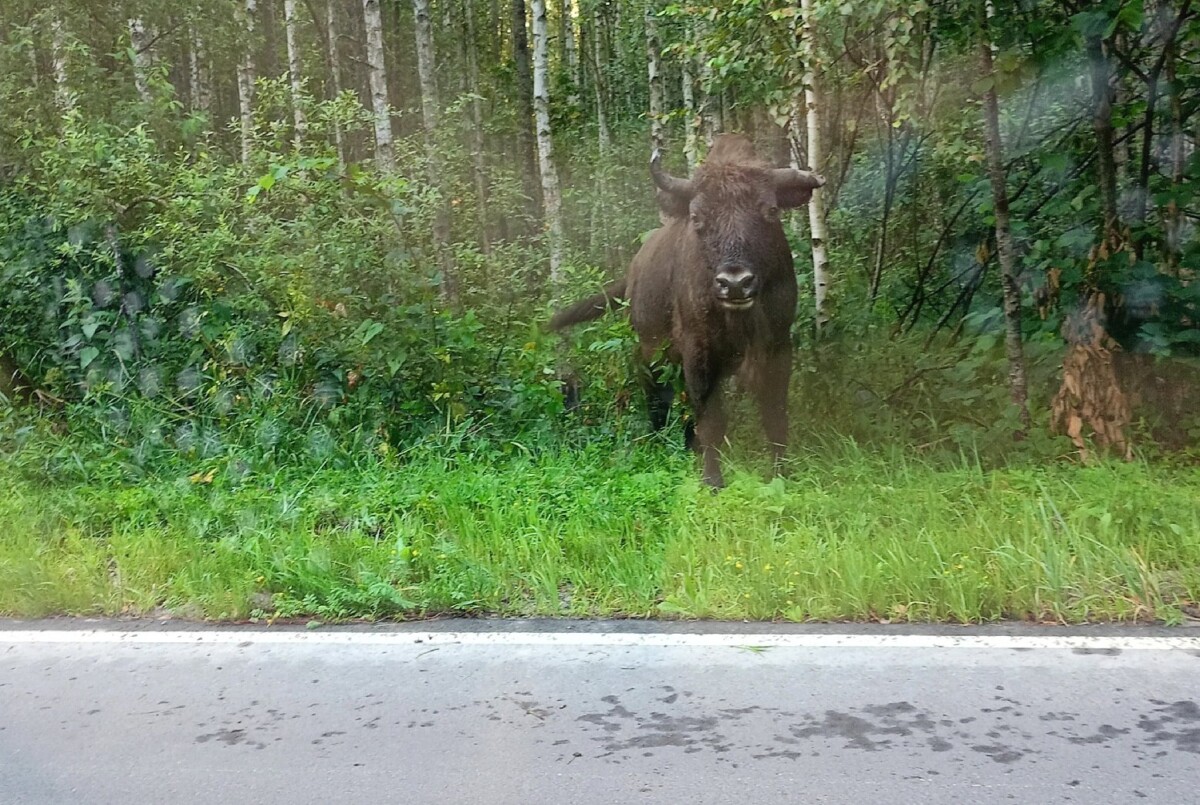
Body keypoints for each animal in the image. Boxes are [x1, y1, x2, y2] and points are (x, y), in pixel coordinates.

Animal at [549, 135, 825, 487]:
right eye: (697, 218)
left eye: (771, 210)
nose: (735, 283)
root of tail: (634, 270)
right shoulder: (698, 351)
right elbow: (711, 418)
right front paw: (713, 481)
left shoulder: (777, 345)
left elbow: (775, 415)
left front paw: (780, 475)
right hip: (648, 352)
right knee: (657, 397)